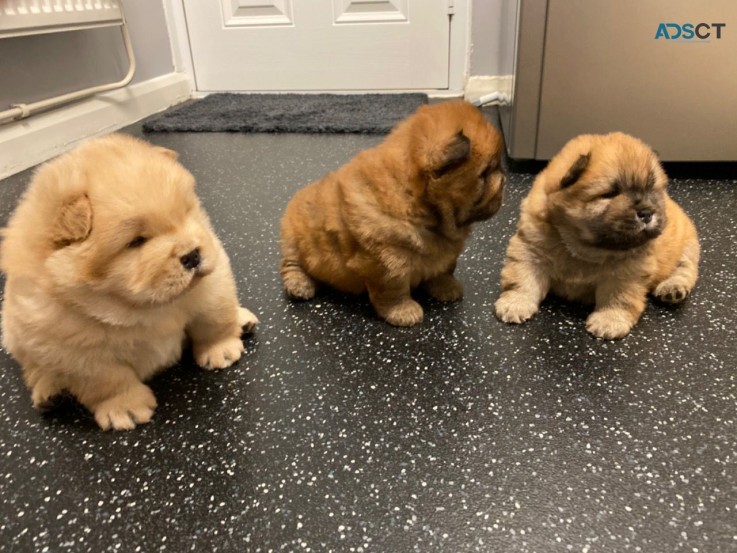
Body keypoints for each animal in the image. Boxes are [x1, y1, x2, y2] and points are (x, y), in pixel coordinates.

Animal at [278, 101, 504, 326]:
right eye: (485, 173)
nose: (504, 179)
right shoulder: (386, 263)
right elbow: (393, 291)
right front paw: (404, 312)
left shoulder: (446, 253)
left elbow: (443, 270)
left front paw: (448, 288)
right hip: (293, 240)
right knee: (291, 264)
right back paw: (299, 286)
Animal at [494, 133, 696, 338]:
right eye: (610, 193)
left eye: (651, 189)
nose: (647, 212)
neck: (583, 247)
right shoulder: (530, 249)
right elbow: (521, 279)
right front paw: (515, 304)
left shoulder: (628, 271)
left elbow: (619, 297)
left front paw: (609, 321)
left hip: (689, 245)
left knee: (686, 270)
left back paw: (672, 288)